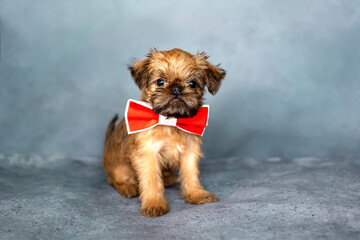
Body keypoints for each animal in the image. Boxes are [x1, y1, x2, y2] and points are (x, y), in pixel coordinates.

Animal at [102, 47, 225, 217]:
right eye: (160, 82)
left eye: (192, 84)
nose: (177, 88)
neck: (170, 120)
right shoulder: (148, 154)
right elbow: (152, 180)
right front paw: (154, 203)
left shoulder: (189, 152)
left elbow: (191, 174)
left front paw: (196, 194)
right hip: (119, 167)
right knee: (113, 180)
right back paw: (127, 187)